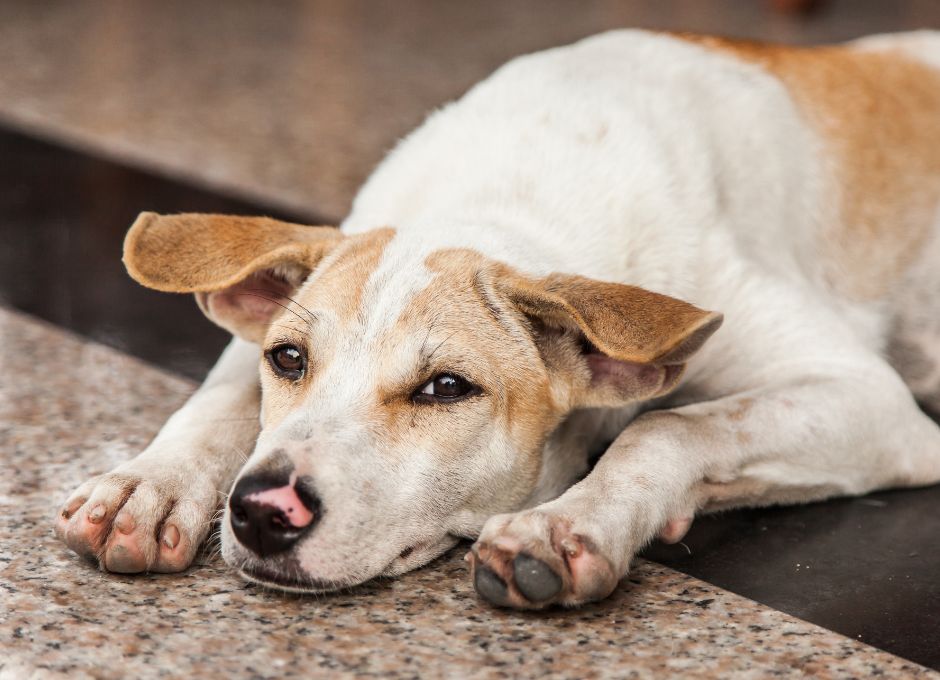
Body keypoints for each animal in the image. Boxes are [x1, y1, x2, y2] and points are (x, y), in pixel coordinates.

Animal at [53, 29, 940, 608]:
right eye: (289, 360)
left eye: (447, 388)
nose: (265, 511)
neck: (505, 193)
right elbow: (218, 401)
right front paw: (148, 486)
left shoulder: (869, 401)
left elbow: (667, 427)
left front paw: (567, 525)